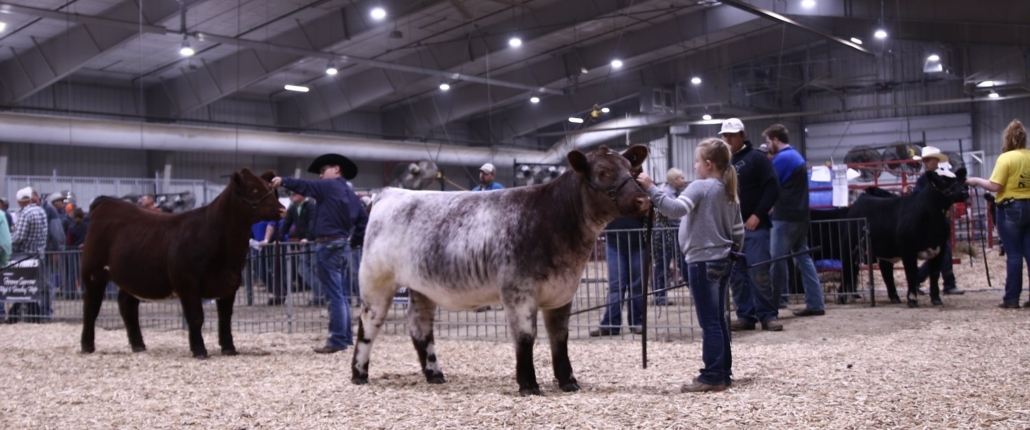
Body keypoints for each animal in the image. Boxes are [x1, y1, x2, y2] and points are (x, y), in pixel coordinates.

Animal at [79, 168, 285, 359]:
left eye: (268, 187)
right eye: (252, 188)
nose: (282, 209)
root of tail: (107, 202)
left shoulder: (230, 283)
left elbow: (225, 318)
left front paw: (229, 348)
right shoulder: (187, 281)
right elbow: (196, 317)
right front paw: (199, 351)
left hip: (134, 276)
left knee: (127, 305)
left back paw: (138, 345)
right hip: (93, 271)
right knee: (91, 306)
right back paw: (87, 346)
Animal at [352, 144, 650, 396]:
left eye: (633, 170)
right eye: (603, 172)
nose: (643, 199)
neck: (554, 218)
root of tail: (390, 193)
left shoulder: (562, 292)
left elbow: (560, 338)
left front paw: (568, 381)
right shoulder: (518, 291)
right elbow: (526, 338)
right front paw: (529, 385)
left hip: (421, 287)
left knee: (420, 326)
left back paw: (435, 374)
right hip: (376, 281)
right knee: (368, 322)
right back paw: (359, 373)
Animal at [847, 168, 969, 307]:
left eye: (957, 179)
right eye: (943, 180)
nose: (964, 192)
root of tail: (865, 196)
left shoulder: (939, 249)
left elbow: (934, 274)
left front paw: (936, 299)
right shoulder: (908, 251)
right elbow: (911, 274)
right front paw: (912, 300)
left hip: (884, 249)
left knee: (886, 270)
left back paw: (894, 297)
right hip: (852, 245)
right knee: (850, 266)